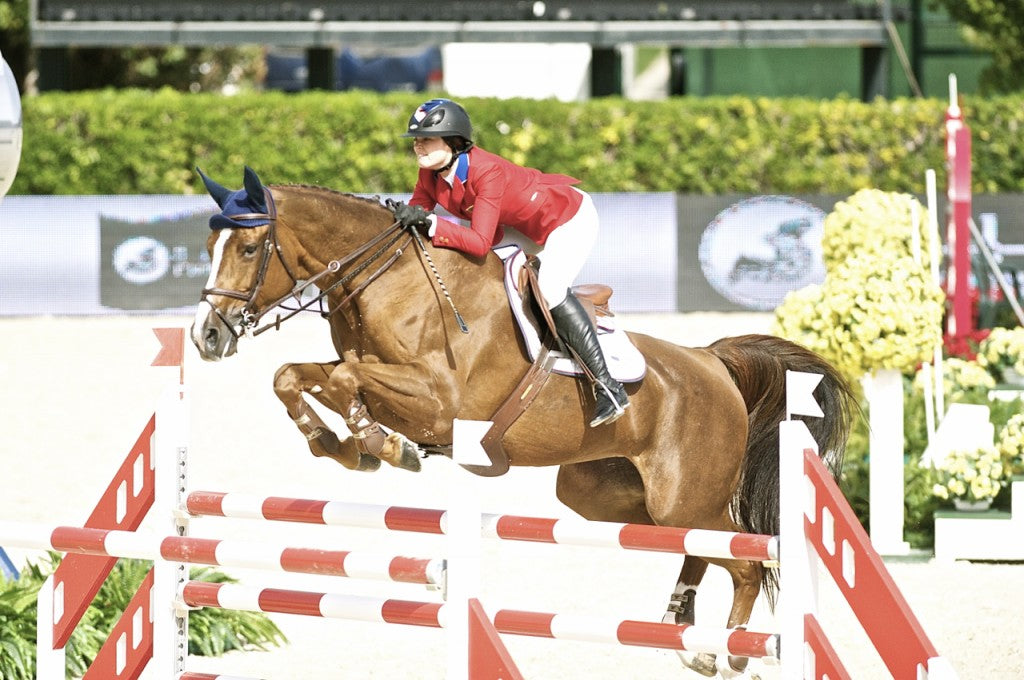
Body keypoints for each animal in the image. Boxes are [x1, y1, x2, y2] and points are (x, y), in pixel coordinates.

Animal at [190, 166, 856, 675]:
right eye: (207, 249)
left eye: (247, 249)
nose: (205, 337)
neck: (392, 282)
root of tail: (712, 362)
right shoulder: (370, 373)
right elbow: (294, 376)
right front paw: (334, 443)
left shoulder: (439, 401)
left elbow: (348, 382)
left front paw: (379, 445)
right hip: (608, 499)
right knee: (700, 548)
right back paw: (685, 633)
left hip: (682, 495)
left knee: (747, 560)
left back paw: (729, 652)